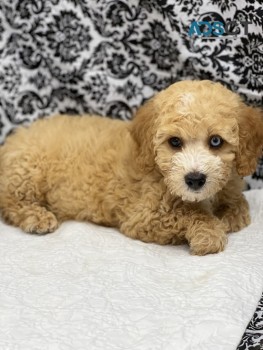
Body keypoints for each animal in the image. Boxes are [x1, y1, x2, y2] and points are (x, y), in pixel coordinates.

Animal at [0, 80, 262, 256]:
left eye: (216, 141)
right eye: (174, 142)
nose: (195, 179)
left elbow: (239, 204)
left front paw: (228, 216)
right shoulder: (143, 217)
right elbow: (189, 214)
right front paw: (209, 233)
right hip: (26, 171)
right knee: (10, 202)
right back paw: (37, 216)